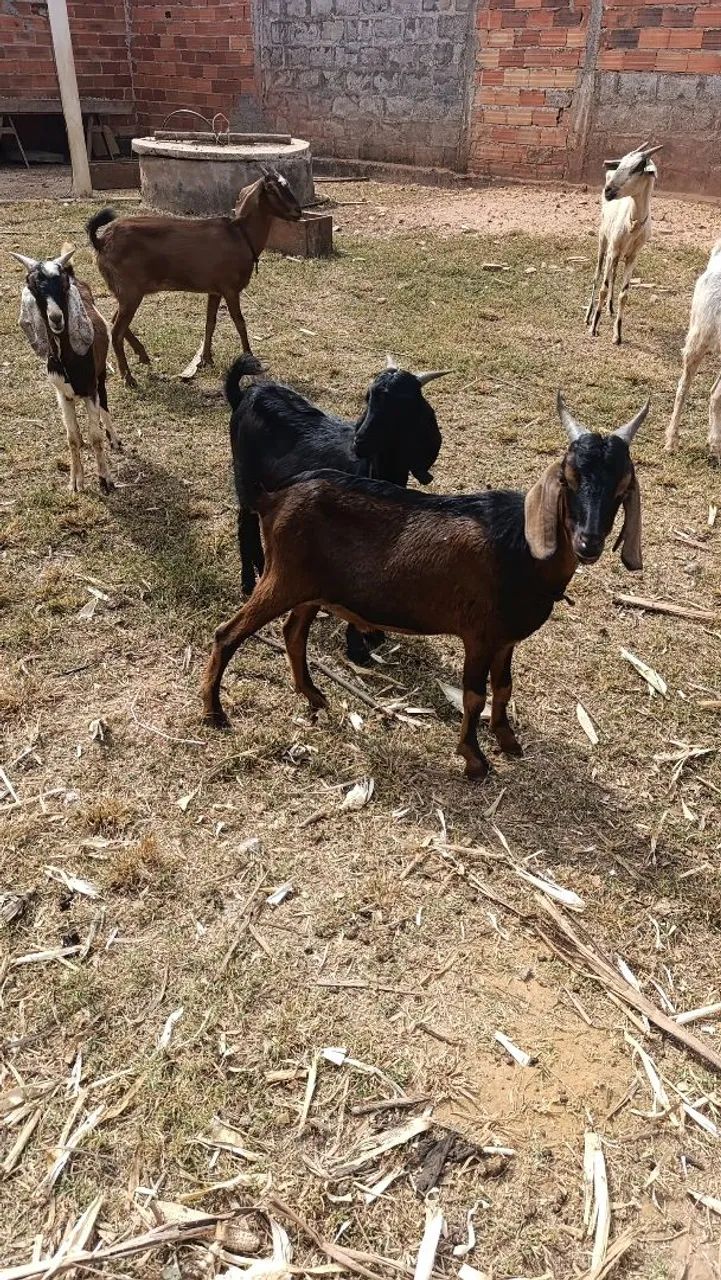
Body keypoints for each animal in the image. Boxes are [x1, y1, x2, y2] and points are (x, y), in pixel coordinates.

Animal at [11, 246, 119, 494]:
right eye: (33, 287)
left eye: (63, 285)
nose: (56, 318)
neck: (67, 360)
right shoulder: (62, 394)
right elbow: (72, 437)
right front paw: (76, 481)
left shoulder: (90, 390)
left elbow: (96, 437)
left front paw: (105, 479)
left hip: (101, 376)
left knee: (105, 405)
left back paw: (115, 439)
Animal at [85, 172, 302, 389]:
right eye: (272, 189)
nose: (298, 212)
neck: (241, 235)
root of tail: (101, 241)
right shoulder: (230, 289)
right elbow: (239, 322)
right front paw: (250, 358)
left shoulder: (215, 290)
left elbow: (210, 322)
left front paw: (206, 358)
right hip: (130, 291)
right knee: (117, 331)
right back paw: (128, 377)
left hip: (127, 292)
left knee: (114, 319)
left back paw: (143, 355)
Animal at [202, 393, 648, 779]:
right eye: (570, 479)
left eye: (622, 487)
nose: (588, 542)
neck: (519, 546)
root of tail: (274, 498)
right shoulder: (479, 635)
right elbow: (474, 696)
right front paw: (475, 760)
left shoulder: (505, 639)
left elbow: (504, 687)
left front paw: (507, 740)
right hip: (282, 578)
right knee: (228, 633)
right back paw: (213, 712)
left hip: (311, 589)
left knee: (293, 633)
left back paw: (313, 696)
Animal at [226, 352, 448, 665]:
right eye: (369, 398)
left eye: (401, 408)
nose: (360, 441)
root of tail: (246, 394)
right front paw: (357, 648)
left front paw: (375, 635)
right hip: (245, 474)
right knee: (244, 521)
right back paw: (248, 580)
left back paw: (261, 570)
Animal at [585, 143, 662, 345]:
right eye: (622, 163)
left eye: (636, 168)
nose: (608, 190)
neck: (632, 224)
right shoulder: (612, 250)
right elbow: (603, 288)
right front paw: (594, 327)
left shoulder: (632, 257)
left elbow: (624, 294)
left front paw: (618, 334)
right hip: (603, 240)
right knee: (598, 274)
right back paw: (589, 315)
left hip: (618, 253)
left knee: (613, 273)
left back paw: (610, 309)